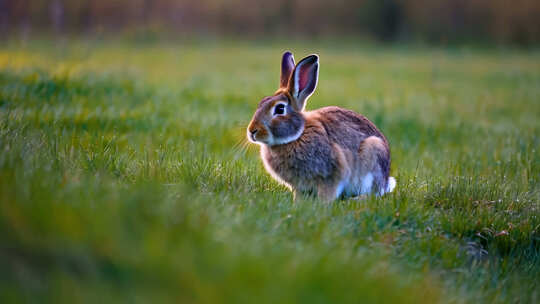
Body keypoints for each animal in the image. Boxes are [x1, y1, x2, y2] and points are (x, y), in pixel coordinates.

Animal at [247, 52, 394, 202]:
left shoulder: (332, 174)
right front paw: (297, 203)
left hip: (373, 153)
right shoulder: (299, 186)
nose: (252, 131)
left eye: (280, 109)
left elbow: (328, 192)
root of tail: (386, 181)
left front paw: (323, 203)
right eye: (261, 103)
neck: (297, 135)